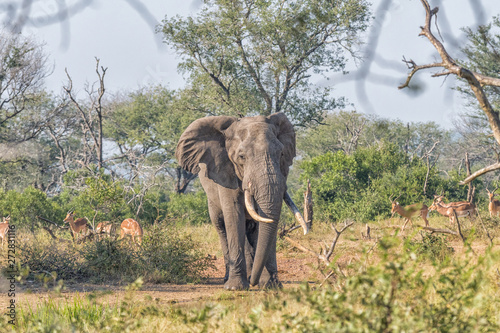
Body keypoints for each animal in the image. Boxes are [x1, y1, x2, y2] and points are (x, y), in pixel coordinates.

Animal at [176, 111, 308, 288]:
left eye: (281, 154)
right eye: (242, 156)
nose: (253, 283)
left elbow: (265, 221)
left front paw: (271, 285)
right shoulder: (225, 170)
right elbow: (234, 214)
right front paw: (235, 287)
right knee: (221, 226)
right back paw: (229, 278)